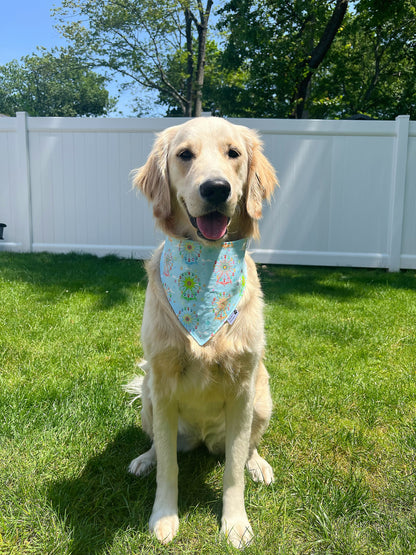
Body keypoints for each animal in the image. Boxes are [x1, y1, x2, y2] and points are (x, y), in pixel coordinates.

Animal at [128, 116, 278, 548]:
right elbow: (169, 467)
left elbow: (233, 470)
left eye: (234, 153)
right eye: (184, 155)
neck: (207, 272)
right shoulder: (162, 386)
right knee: (160, 447)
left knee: (247, 449)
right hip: (147, 396)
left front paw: (235, 523)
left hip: (263, 399)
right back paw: (144, 459)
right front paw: (163, 516)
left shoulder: (243, 389)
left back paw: (259, 465)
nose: (215, 188)